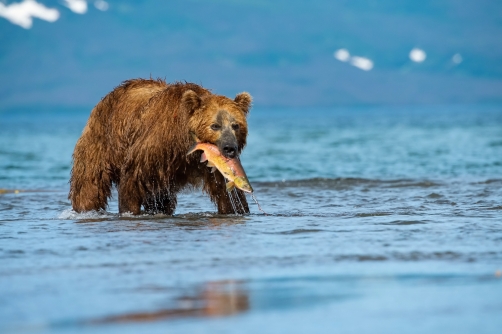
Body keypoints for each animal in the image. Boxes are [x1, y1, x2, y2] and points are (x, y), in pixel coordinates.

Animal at [68, 78, 253, 214]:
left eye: (236, 125)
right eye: (215, 125)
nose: (229, 148)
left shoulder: (212, 164)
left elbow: (227, 194)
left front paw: (237, 208)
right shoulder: (153, 146)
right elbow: (132, 182)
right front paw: (129, 210)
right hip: (101, 141)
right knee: (89, 184)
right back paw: (85, 208)